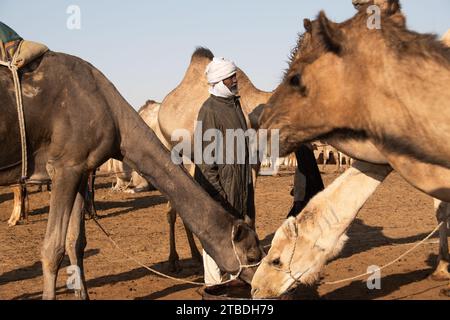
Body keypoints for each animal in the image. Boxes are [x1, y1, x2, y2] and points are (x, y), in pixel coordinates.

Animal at [0, 48, 264, 298]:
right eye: (251, 255)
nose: (259, 285)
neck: (115, 120)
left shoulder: (81, 169)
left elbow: (75, 242)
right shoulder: (65, 167)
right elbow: (52, 250)